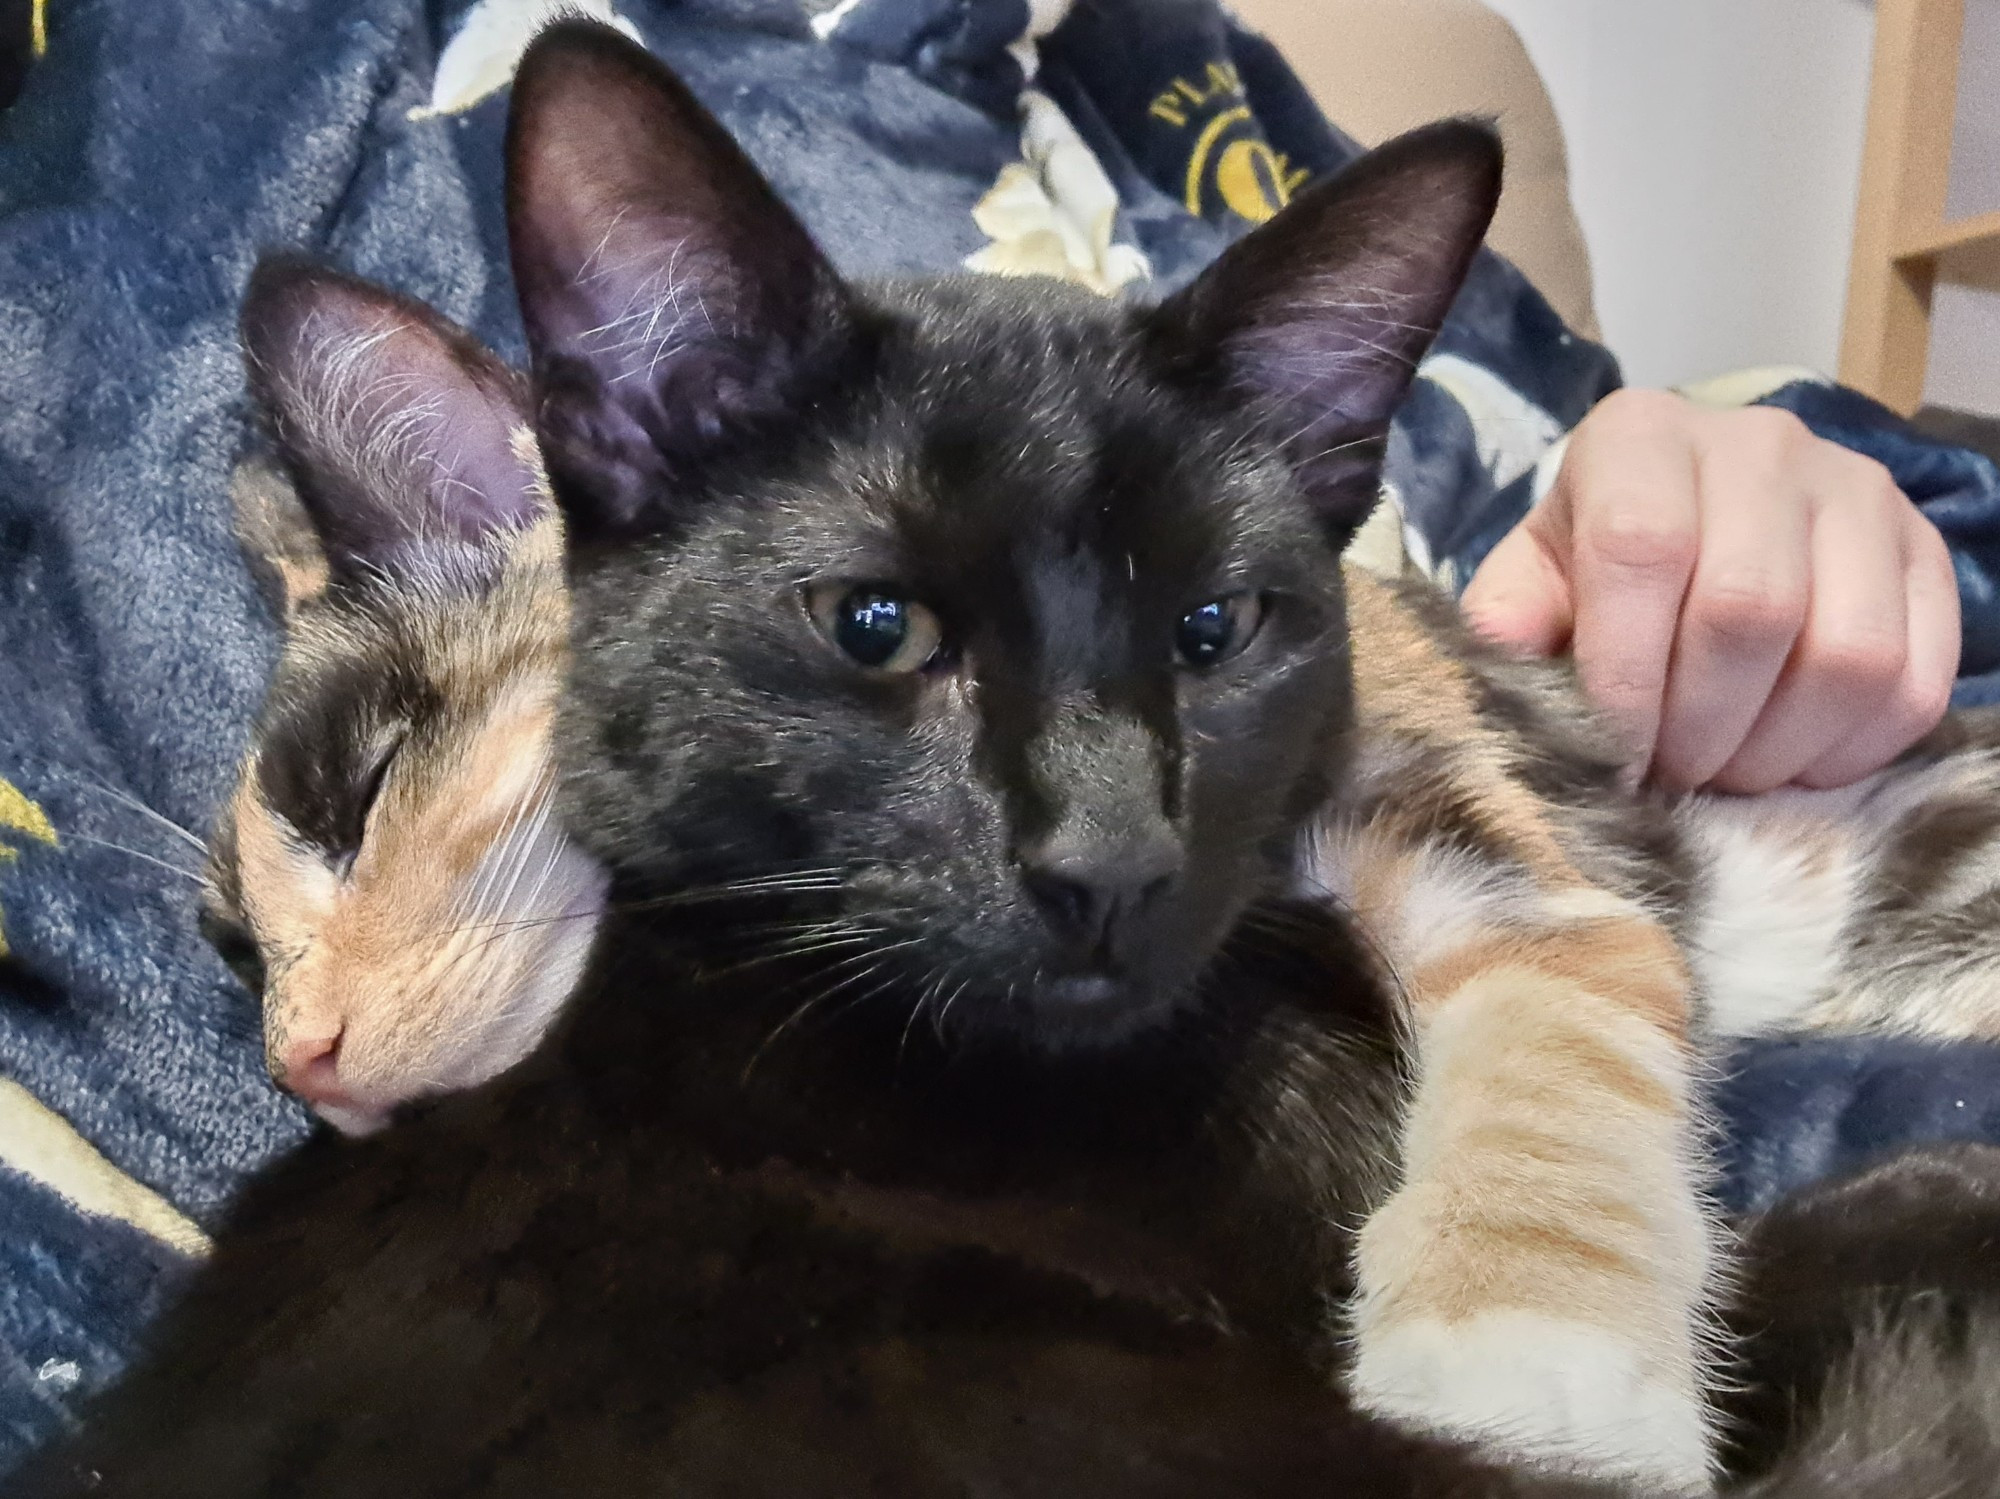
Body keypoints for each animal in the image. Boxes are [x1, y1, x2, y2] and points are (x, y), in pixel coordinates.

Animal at [27, 20, 2000, 1499]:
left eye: (357, 787)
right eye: (235, 950)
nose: (301, 1056)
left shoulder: (1464, 798)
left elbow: (1557, 981)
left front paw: (1535, 1344)